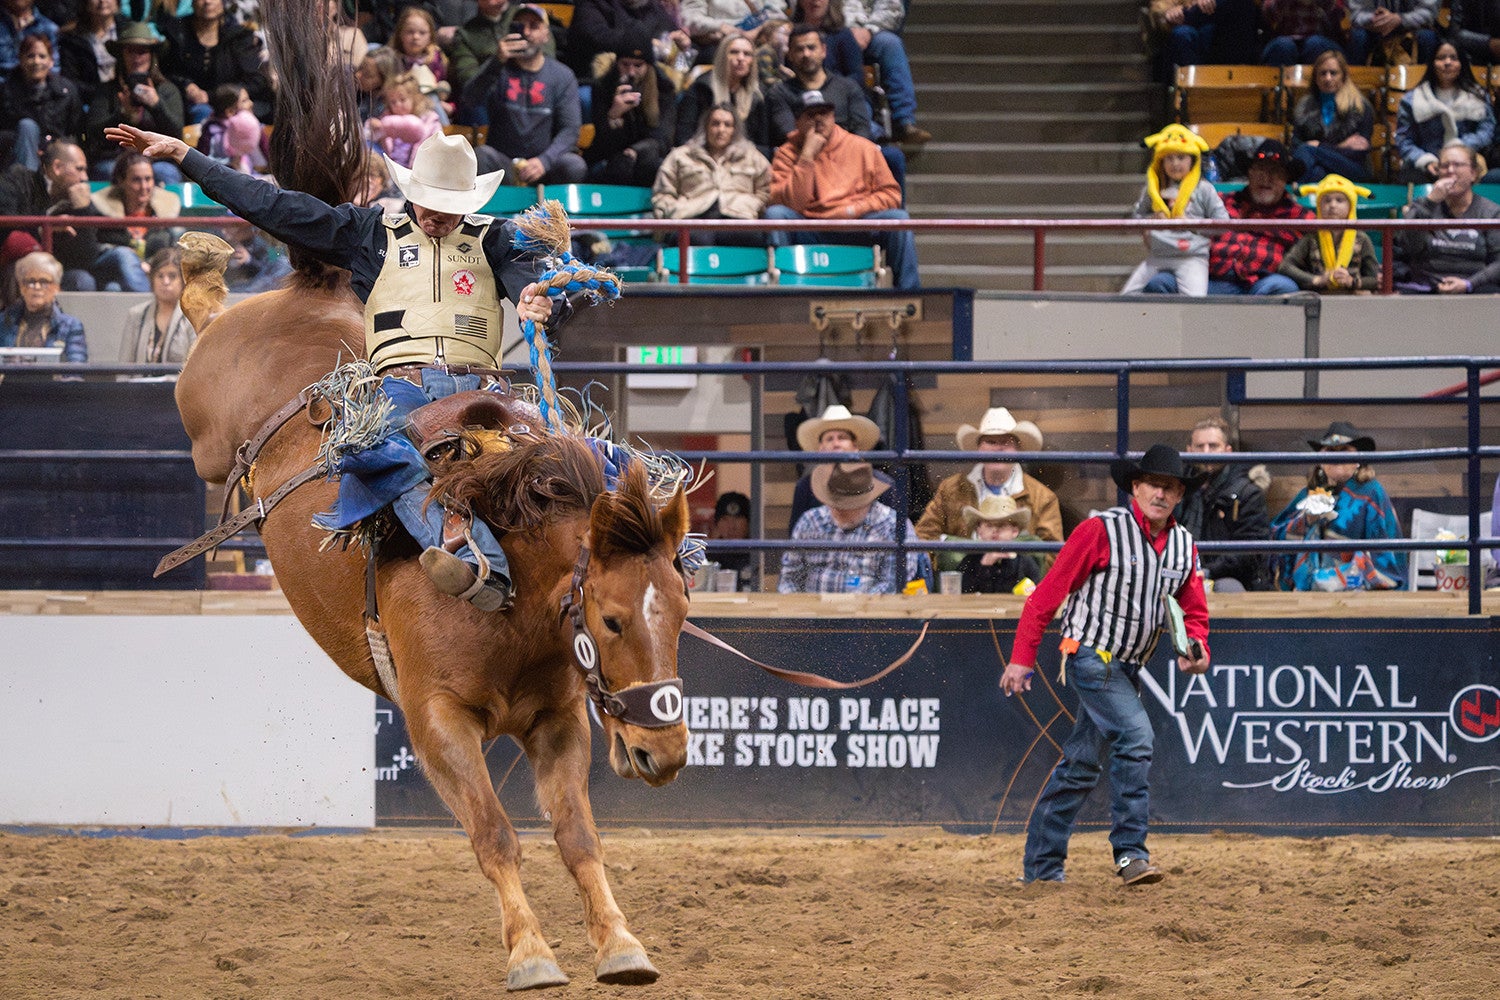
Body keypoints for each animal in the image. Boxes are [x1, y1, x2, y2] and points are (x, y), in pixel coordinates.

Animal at [167, 0, 693, 989]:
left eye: (680, 612)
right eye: (610, 619)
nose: (662, 750)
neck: (511, 588)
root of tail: (312, 288)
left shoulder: (559, 719)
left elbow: (576, 836)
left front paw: (622, 944)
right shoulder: (434, 719)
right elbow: (494, 834)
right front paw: (531, 955)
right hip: (207, 421)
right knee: (206, 311)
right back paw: (197, 252)